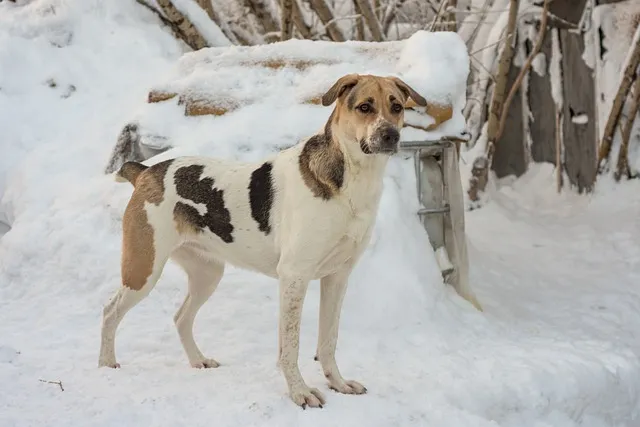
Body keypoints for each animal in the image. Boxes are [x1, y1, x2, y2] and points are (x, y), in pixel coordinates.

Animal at [97, 74, 428, 412]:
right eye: (364, 107)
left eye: (396, 106)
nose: (390, 135)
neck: (352, 181)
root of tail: (146, 171)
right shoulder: (295, 276)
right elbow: (291, 346)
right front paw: (300, 392)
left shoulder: (337, 277)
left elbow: (328, 340)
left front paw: (337, 383)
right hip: (144, 269)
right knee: (110, 312)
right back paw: (107, 366)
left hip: (207, 274)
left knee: (180, 318)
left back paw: (198, 360)